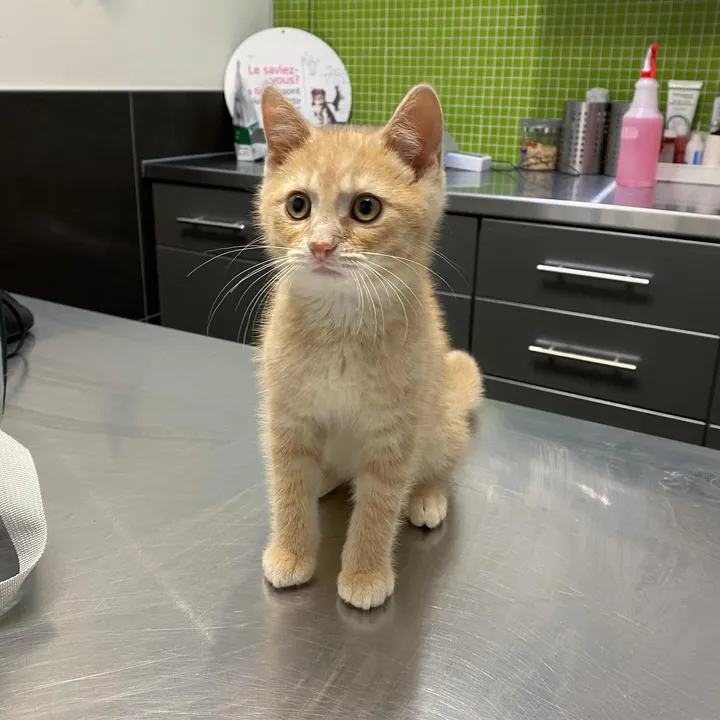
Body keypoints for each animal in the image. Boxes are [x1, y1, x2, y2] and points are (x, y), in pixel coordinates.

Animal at [256, 86, 480, 612]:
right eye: (298, 205)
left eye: (365, 209)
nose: (319, 246)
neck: (340, 329)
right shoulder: (285, 419)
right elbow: (287, 486)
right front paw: (291, 551)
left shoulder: (394, 434)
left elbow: (378, 507)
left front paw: (365, 572)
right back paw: (324, 479)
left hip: (440, 422)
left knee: (440, 466)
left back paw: (427, 496)